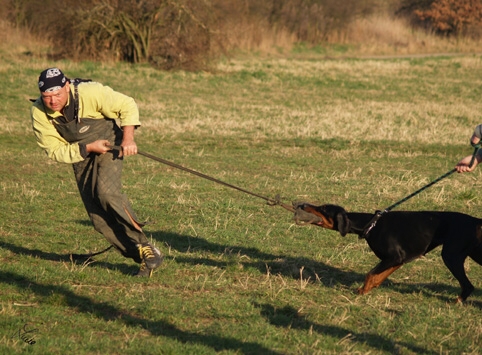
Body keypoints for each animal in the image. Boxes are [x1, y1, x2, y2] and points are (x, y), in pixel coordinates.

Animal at [294, 203, 482, 304]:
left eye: (324, 208)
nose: (302, 205)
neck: (370, 224)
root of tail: (475, 221)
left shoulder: (394, 257)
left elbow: (370, 274)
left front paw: (362, 291)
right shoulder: (397, 260)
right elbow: (378, 276)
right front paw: (366, 289)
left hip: (451, 256)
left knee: (468, 285)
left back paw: (456, 302)